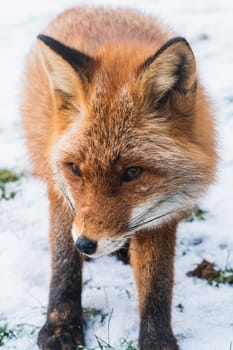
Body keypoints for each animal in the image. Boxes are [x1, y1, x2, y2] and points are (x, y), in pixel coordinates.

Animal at [20, 5, 217, 350]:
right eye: (75, 169)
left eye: (132, 172)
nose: (86, 244)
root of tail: (92, 7)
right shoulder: (62, 193)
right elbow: (64, 263)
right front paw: (60, 326)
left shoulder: (163, 213)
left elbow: (157, 282)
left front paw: (156, 340)